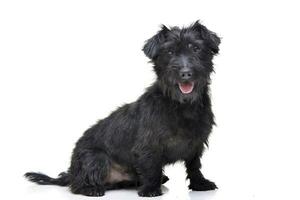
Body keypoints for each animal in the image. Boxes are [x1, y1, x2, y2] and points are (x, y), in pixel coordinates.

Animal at [24, 20, 220, 197]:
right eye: (170, 52)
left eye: (196, 48)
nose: (185, 73)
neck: (181, 105)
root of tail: (72, 172)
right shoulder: (147, 146)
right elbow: (151, 167)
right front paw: (150, 189)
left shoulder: (196, 143)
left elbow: (194, 166)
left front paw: (200, 183)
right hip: (96, 158)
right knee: (77, 185)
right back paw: (91, 189)